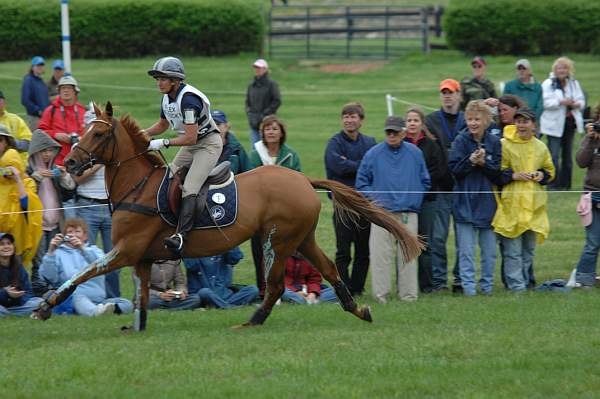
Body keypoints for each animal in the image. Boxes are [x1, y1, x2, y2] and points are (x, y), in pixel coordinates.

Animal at [29, 102, 422, 332]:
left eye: (98, 132)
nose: (70, 163)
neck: (136, 187)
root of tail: (302, 179)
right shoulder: (141, 258)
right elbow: (141, 296)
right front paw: (136, 326)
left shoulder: (126, 251)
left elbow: (83, 272)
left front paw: (45, 307)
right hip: (302, 238)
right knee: (327, 268)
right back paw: (357, 309)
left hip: (280, 241)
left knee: (276, 285)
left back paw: (253, 321)